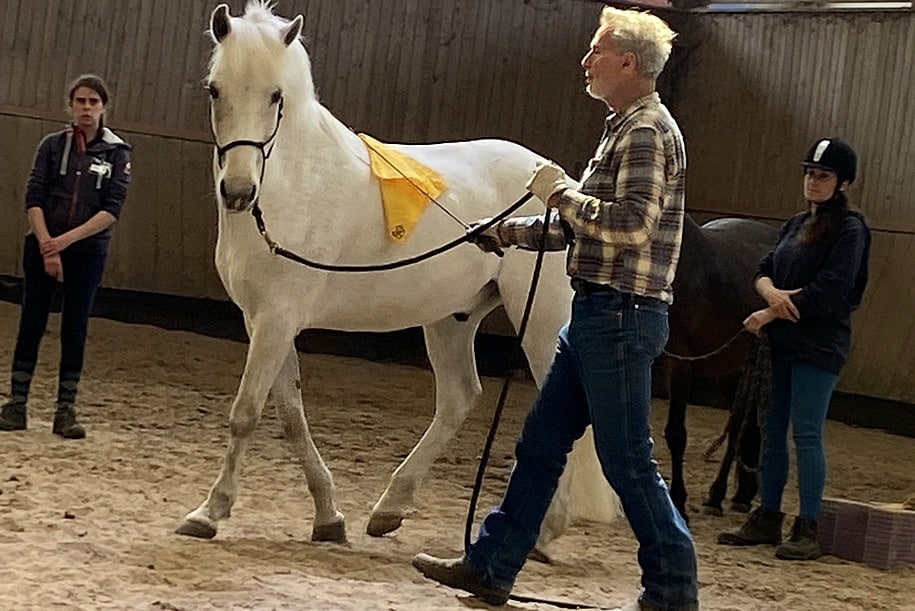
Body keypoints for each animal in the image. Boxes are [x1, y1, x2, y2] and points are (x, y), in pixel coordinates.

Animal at [174, 1, 621, 552]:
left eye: (276, 95)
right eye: (215, 90)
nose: (238, 192)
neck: (291, 187)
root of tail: (565, 188)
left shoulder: (278, 319)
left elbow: (246, 414)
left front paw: (209, 513)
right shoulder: (262, 321)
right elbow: (290, 417)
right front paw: (328, 517)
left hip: (539, 320)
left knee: (558, 412)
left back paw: (541, 532)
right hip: (451, 319)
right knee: (460, 398)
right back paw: (390, 509)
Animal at [653, 216, 778, 518]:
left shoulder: (680, 365)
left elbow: (676, 433)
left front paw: (678, 500)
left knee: (739, 429)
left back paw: (720, 495)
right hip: (731, 371)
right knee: (743, 428)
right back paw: (737, 494)